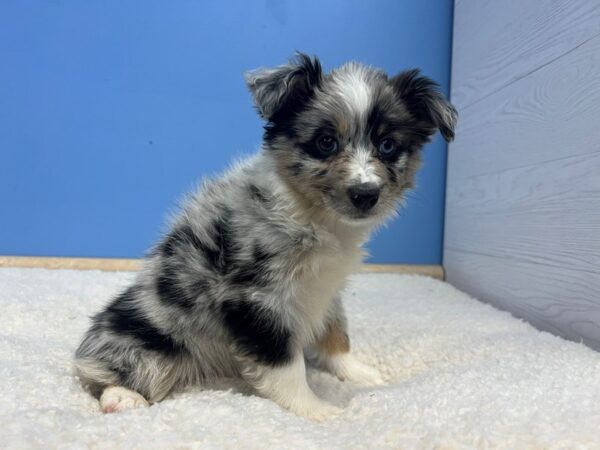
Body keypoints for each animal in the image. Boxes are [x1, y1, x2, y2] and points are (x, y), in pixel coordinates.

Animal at [74, 53, 454, 422]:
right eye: (325, 142)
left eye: (387, 145)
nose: (365, 194)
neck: (314, 217)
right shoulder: (258, 300)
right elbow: (286, 365)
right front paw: (313, 409)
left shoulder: (326, 288)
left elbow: (336, 331)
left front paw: (355, 372)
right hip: (146, 339)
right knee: (98, 370)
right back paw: (122, 396)